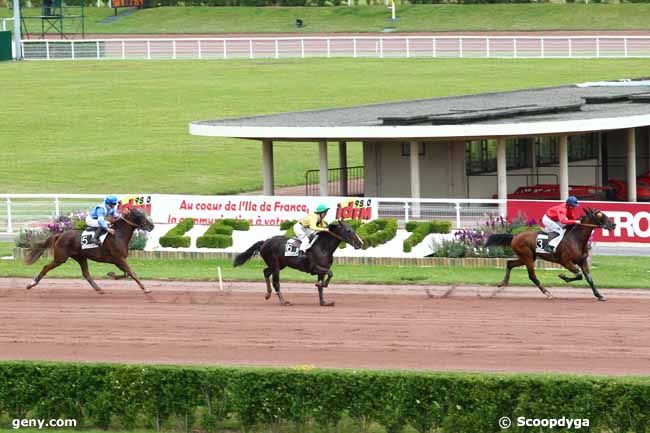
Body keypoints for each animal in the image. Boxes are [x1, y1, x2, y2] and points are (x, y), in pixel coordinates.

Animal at [22, 207, 154, 294]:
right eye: (138, 215)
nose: (151, 226)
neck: (118, 235)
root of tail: (60, 235)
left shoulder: (118, 260)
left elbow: (127, 273)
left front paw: (111, 274)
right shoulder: (119, 259)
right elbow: (132, 273)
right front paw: (145, 289)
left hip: (81, 257)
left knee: (86, 273)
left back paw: (98, 288)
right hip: (61, 258)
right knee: (46, 267)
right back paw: (31, 284)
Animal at [233, 219, 364, 308]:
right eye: (349, 230)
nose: (360, 243)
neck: (322, 247)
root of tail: (265, 241)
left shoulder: (322, 270)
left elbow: (322, 286)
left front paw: (324, 301)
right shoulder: (314, 268)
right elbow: (330, 273)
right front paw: (321, 285)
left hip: (280, 265)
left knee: (265, 272)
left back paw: (268, 294)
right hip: (275, 265)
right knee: (276, 282)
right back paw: (284, 301)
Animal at [484, 208, 616, 300]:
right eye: (599, 215)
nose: (613, 225)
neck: (576, 239)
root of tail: (515, 236)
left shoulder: (582, 261)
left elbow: (589, 278)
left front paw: (599, 295)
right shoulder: (565, 261)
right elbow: (579, 275)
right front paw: (563, 276)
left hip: (528, 257)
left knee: (510, 264)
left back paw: (502, 284)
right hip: (527, 257)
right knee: (532, 276)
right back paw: (547, 293)